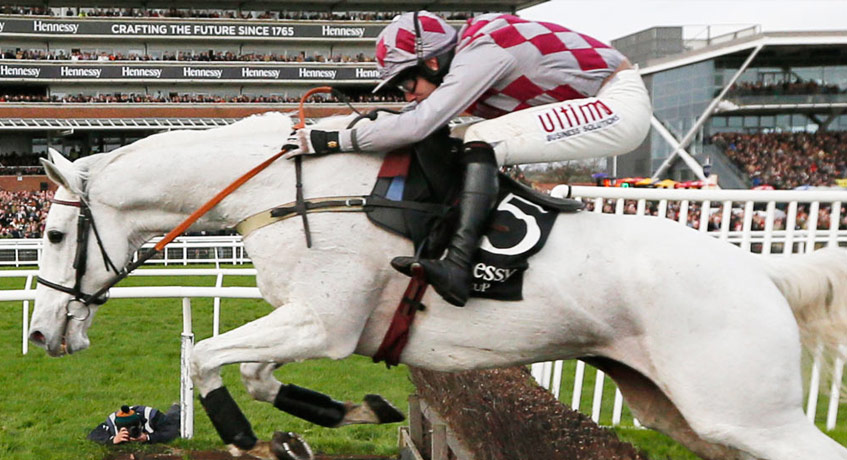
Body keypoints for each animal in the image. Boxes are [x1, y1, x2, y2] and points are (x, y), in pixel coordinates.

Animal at [29, 112, 847, 460]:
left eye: (55, 235)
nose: (38, 335)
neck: (289, 190)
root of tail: (758, 269)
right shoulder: (315, 321)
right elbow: (259, 374)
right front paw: (350, 410)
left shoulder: (323, 322)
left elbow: (207, 359)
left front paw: (237, 435)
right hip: (674, 409)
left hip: (746, 413)